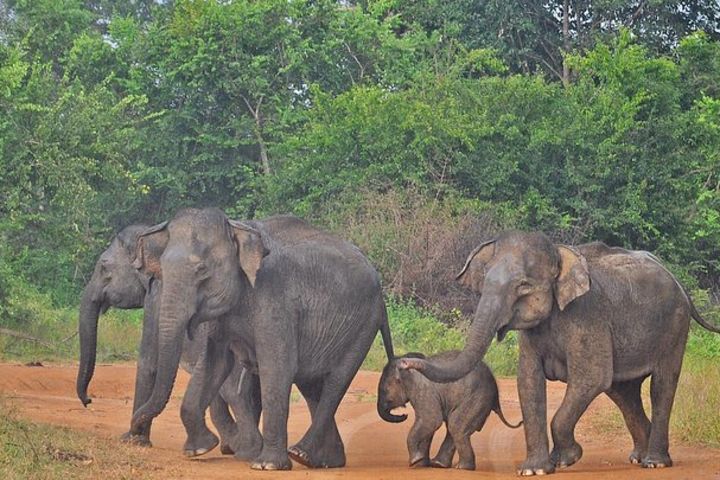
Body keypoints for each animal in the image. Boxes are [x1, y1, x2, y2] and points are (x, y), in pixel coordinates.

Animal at [74, 225, 262, 458]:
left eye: (104, 267)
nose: (88, 401)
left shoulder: (156, 297)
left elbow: (148, 364)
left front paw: (133, 440)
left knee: (234, 393)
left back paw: (243, 448)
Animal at [132, 209, 396, 468]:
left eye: (202, 271)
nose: (135, 434)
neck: (237, 227)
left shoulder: (274, 298)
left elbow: (276, 367)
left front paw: (266, 465)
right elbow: (214, 365)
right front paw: (198, 449)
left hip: (363, 325)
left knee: (335, 382)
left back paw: (301, 453)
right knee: (311, 384)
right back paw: (323, 461)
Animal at [376, 350, 524, 470]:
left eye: (384, 391)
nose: (404, 415)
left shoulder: (422, 389)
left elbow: (431, 420)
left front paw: (414, 462)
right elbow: (428, 425)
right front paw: (420, 463)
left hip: (476, 398)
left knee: (456, 426)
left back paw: (461, 468)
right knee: (454, 427)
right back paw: (439, 464)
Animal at [400, 232, 720, 476]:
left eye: (523, 286)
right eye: (484, 283)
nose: (404, 363)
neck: (559, 252)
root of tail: (678, 281)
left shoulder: (587, 315)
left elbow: (591, 378)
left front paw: (566, 459)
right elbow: (528, 382)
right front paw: (534, 470)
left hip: (674, 326)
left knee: (660, 385)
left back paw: (654, 463)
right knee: (623, 392)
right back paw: (638, 458)